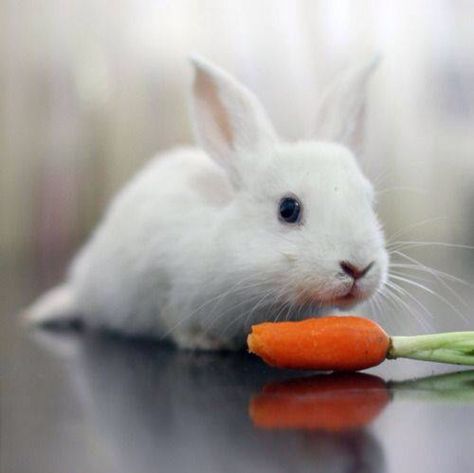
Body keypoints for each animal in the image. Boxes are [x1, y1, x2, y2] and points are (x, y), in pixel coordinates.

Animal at [25, 57, 388, 348]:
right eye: (288, 209)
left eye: (370, 201)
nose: (358, 267)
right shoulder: (164, 280)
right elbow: (175, 319)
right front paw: (206, 343)